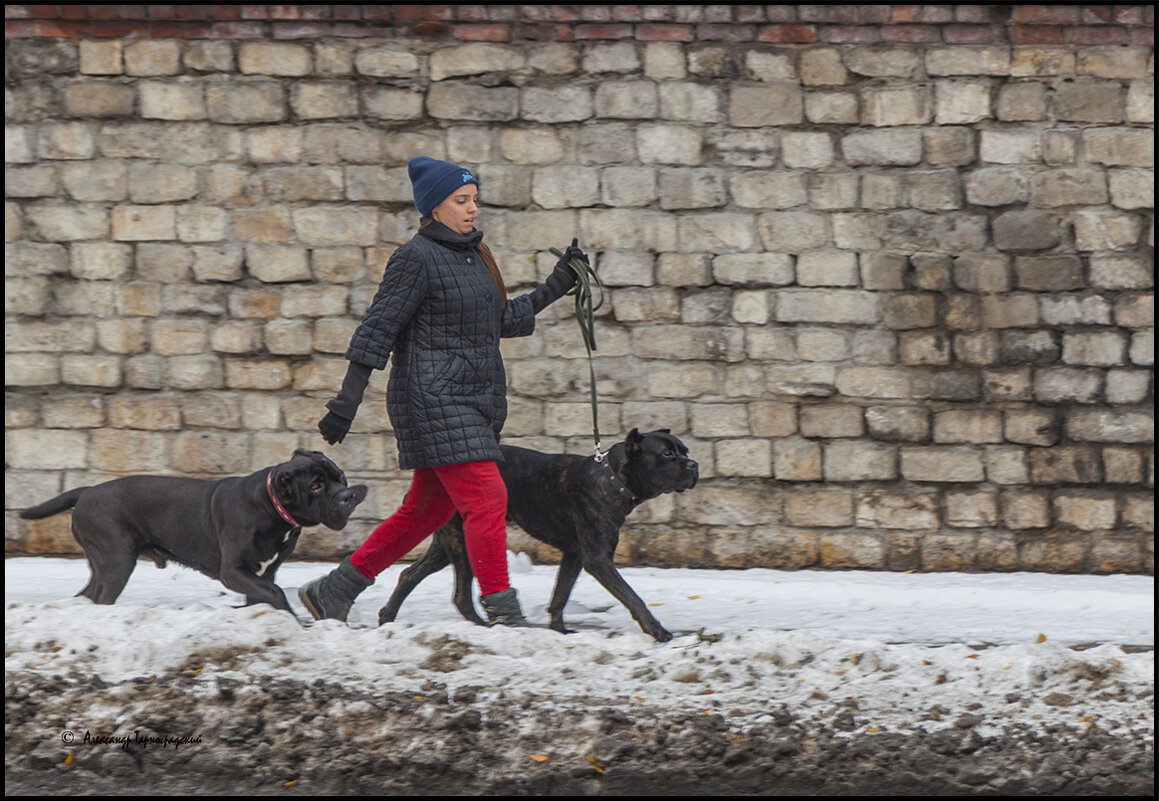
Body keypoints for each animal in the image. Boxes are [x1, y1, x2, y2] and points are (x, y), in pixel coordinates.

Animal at [21, 447, 366, 612]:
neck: (272, 509)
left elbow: (263, 595)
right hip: (117, 562)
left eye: (340, 476)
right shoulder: (234, 571)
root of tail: (87, 492)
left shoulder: (262, 573)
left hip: (104, 564)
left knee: (87, 595)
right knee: (103, 595)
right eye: (317, 486)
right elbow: (276, 593)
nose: (350, 495)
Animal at [377, 428, 695, 644]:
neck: (611, 478)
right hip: (463, 542)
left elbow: (560, 595)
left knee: (409, 574)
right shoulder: (598, 559)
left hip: (447, 544)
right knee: (461, 596)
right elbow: (632, 597)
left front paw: (559, 631)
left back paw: (387, 618)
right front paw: (657, 631)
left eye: (686, 451)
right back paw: (485, 628)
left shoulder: (575, 555)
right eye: (667, 454)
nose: (694, 466)